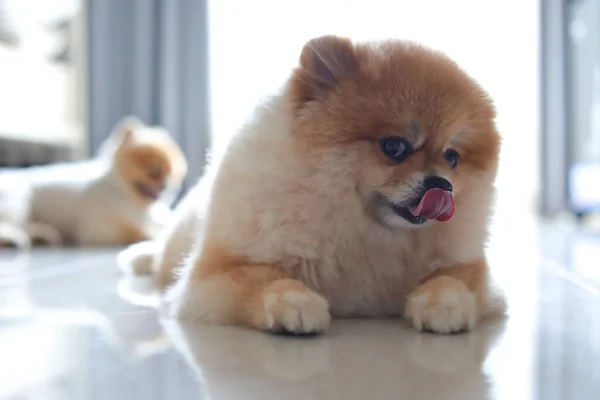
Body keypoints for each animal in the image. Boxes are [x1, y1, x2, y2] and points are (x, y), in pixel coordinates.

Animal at [0, 116, 186, 247]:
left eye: (175, 176)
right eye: (153, 172)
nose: (168, 187)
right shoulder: (96, 229)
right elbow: (133, 232)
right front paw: (152, 237)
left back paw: (42, 236)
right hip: (17, 204)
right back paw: (13, 240)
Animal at [120, 35, 506, 334]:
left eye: (452, 158)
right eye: (394, 147)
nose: (442, 184)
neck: (363, 229)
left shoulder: (468, 265)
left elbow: (453, 279)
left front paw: (445, 303)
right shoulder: (215, 273)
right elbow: (265, 278)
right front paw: (294, 301)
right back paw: (141, 258)